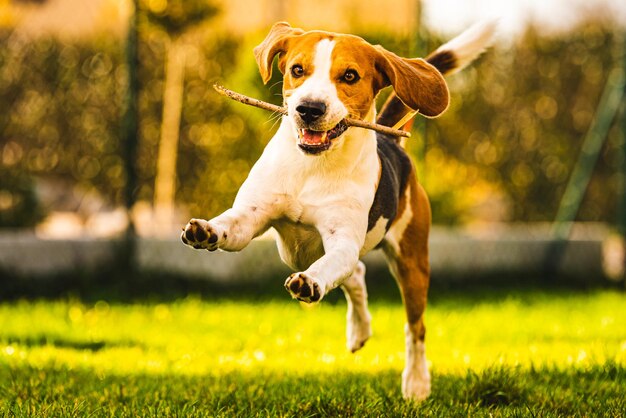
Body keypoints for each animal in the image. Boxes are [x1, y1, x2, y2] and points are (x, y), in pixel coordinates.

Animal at [179, 21, 492, 400]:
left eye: (350, 75)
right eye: (298, 70)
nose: (309, 109)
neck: (313, 167)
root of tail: (391, 140)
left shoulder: (342, 241)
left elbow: (330, 266)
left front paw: (311, 282)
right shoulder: (251, 217)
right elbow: (231, 227)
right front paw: (206, 229)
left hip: (412, 262)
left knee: (414, 327)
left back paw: (416, 383)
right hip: (294, 253)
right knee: (356, 274)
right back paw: (360, 331)